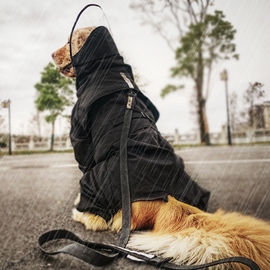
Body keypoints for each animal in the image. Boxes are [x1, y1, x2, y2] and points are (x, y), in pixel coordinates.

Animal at [52, 26, 270, 268]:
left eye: (68, 42)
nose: (51, 54)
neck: (108, 69)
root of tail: (167, 200)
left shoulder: (79, 132)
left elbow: (83, 156)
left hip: (95, 182)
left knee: (98, 218)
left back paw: (81, 213)